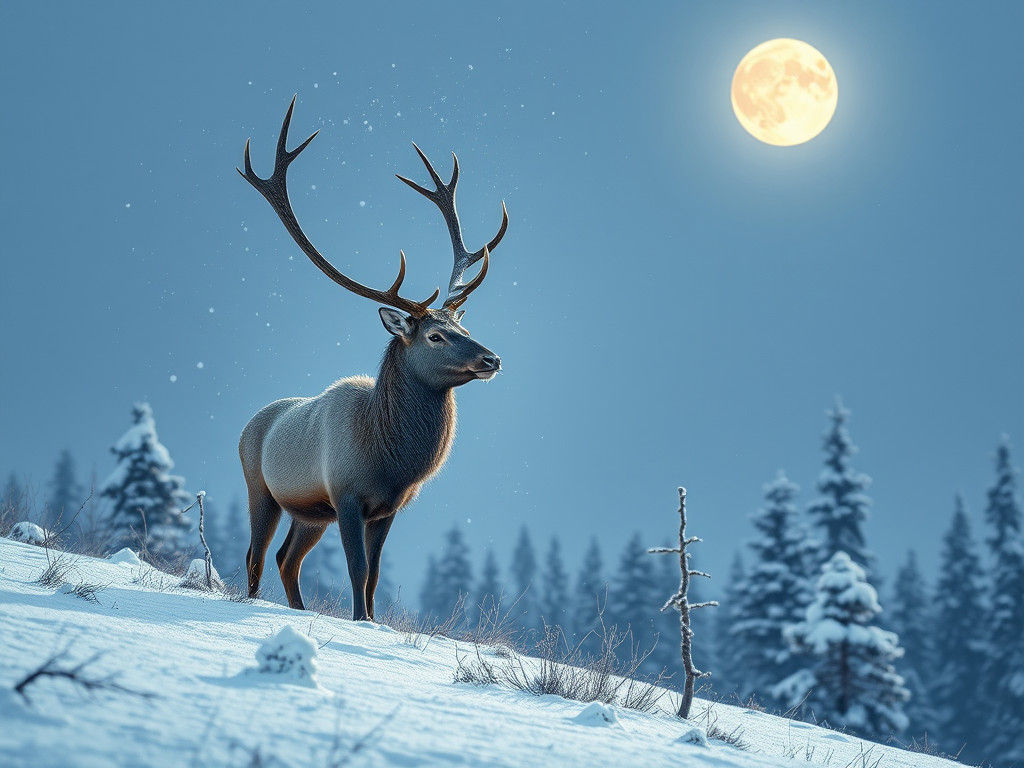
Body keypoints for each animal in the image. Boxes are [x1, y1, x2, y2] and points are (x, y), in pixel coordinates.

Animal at [236, 97, 507, 620]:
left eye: (464, 328)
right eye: (436, 336)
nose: (492, 359)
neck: (392, 459)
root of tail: (248, 424)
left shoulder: (389, 507)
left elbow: (376, 575)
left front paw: (371, 621)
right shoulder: (346, 493)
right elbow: (357, 570)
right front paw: (360, 622)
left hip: (309, 512)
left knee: (285, 559)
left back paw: (297, 609)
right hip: (261, 488)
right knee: (256, 555)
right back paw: (248, 601)